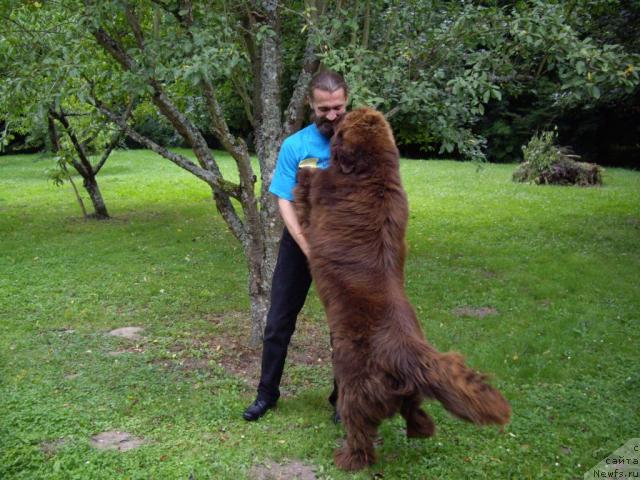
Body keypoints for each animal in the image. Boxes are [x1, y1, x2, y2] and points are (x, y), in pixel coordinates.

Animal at [294, 107, 510, 470]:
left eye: (344, 121)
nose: (338, 118)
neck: (373, 171)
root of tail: (406, 351)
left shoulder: (325, 192)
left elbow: (309, 189)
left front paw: (303, 172)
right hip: (408, 391)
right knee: (417, 413)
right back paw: (418, 430)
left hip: (355, 387)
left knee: (360, 430)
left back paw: (348, 458)